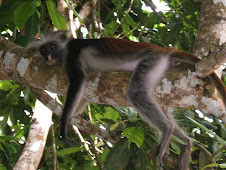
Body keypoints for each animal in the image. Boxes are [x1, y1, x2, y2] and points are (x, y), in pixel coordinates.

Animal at [27, 31, 225, 169]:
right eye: (43, 49)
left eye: (52, 47)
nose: (47, 56)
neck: (64, 50)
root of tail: (165, 51)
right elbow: (82, 96)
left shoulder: (72, 52)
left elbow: (78, 81)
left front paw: (64, 122)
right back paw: (185, 146)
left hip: (151, 61)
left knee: (136, 93)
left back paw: (167, 130)